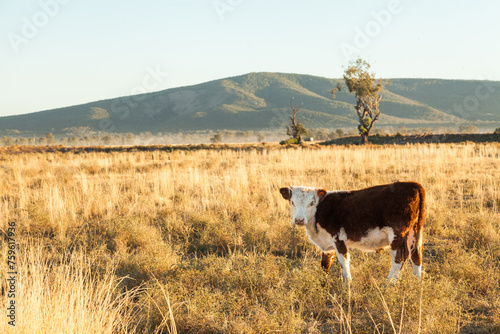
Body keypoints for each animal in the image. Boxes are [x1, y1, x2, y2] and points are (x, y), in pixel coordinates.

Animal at [280, 183, 424, 282]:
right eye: (292, 202)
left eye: (311, 203)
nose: (299, 219)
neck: (319, 211)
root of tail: (413, 184)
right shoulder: (327, 244)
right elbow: (325, 263)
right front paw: (323, 283)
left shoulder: (338, 238)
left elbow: (344, 261)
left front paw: (347, 282)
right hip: (414, 232)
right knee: (416, 256)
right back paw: (417, 282)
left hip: (397, 234)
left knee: (399, 258)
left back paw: (389, 283)